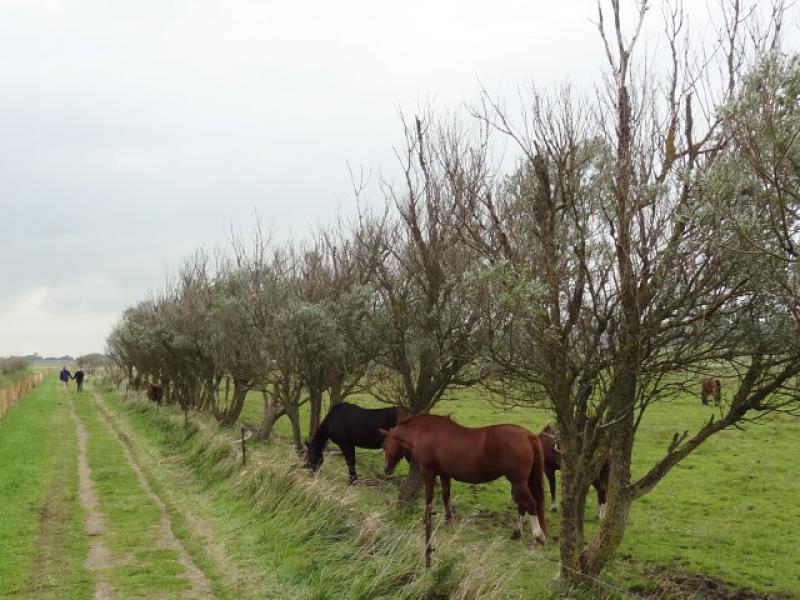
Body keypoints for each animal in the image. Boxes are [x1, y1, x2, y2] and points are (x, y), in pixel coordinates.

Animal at [380, 412, 544, 568]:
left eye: (385, 445)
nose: (387, 469)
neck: (424, 431)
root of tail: (527, 435)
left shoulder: (428, 472)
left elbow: (429, 499)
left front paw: (427, 520)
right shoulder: (444, 475)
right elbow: (446, 497)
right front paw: (448, 522)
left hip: (518, 482)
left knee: (529, 504)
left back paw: (538, 536)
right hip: (519, 483)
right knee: (522, 505)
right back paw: (516, 533)